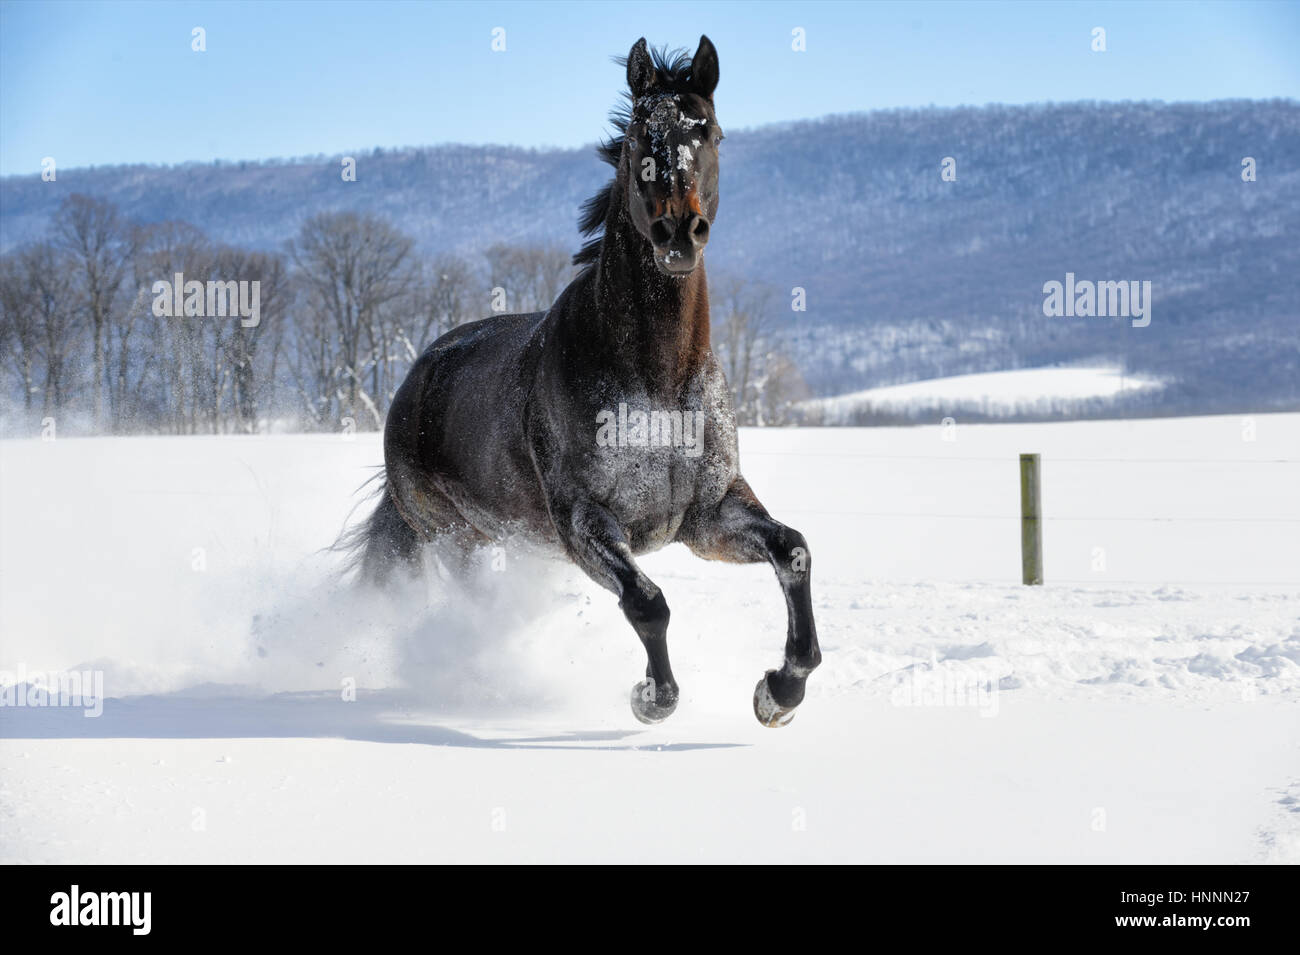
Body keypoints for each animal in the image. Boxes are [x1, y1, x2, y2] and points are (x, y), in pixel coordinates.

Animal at [351, 35, 821, 722]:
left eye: (709, 132)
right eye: (639, 140)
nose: (678, 232)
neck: (657, 382)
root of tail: (415, 381)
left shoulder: (708, 516)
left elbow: (792, 550)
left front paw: (779, 690)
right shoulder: (586, 523)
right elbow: (647, 603)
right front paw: (652, 698)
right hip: (456, 539)